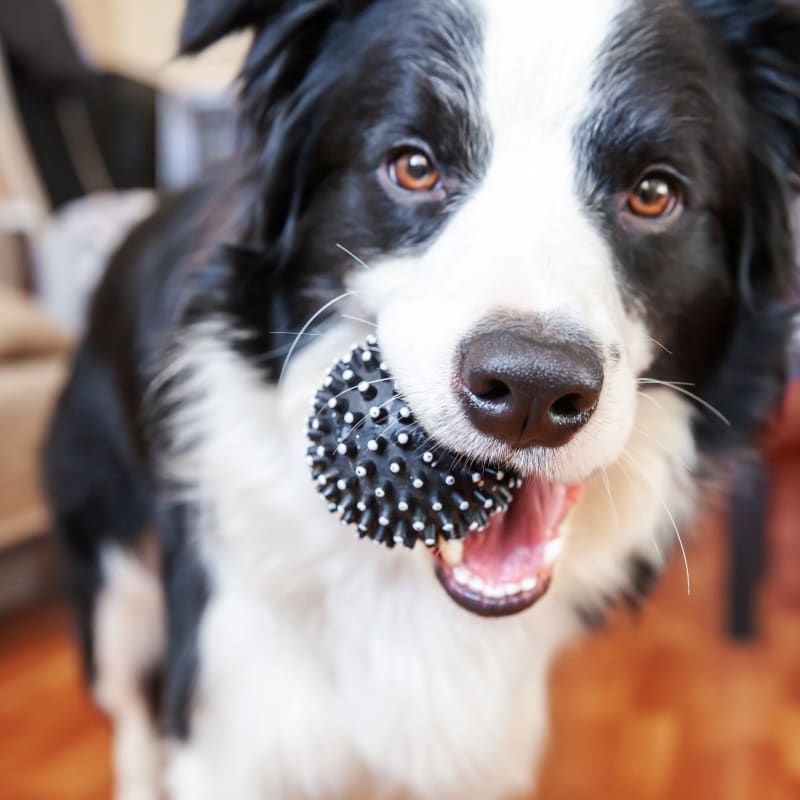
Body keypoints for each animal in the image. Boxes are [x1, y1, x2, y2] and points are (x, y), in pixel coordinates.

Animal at [45, 1, 800, 800]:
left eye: (654, 194)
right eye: (413, 166)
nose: (531, 389)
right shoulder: (236, 730)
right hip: (111, 576)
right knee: (129, 706)